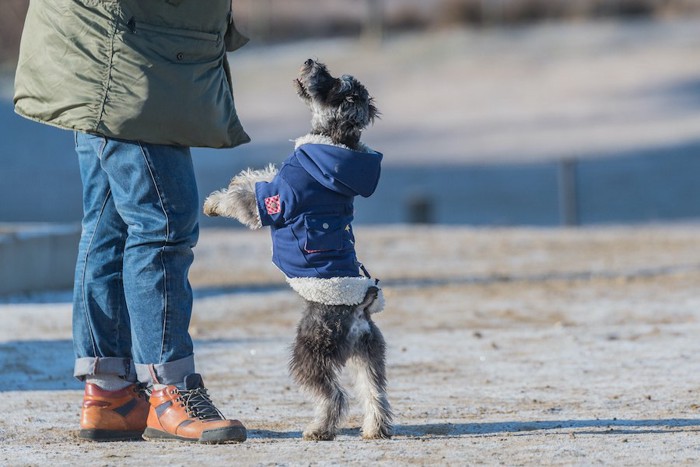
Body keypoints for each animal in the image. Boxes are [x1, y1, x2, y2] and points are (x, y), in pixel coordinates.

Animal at [205, 59, 396, 442]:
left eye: (332, 81)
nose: (311, 62)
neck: (333, 142)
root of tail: (361, 308)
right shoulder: (275, 184)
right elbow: (258, 175)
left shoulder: (273, 202)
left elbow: (243, 199)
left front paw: (214, 204)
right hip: (367, 354)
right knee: (375, 393)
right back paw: (374, 430)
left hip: (310, 353)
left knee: (334, 395)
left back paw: (318, 429)